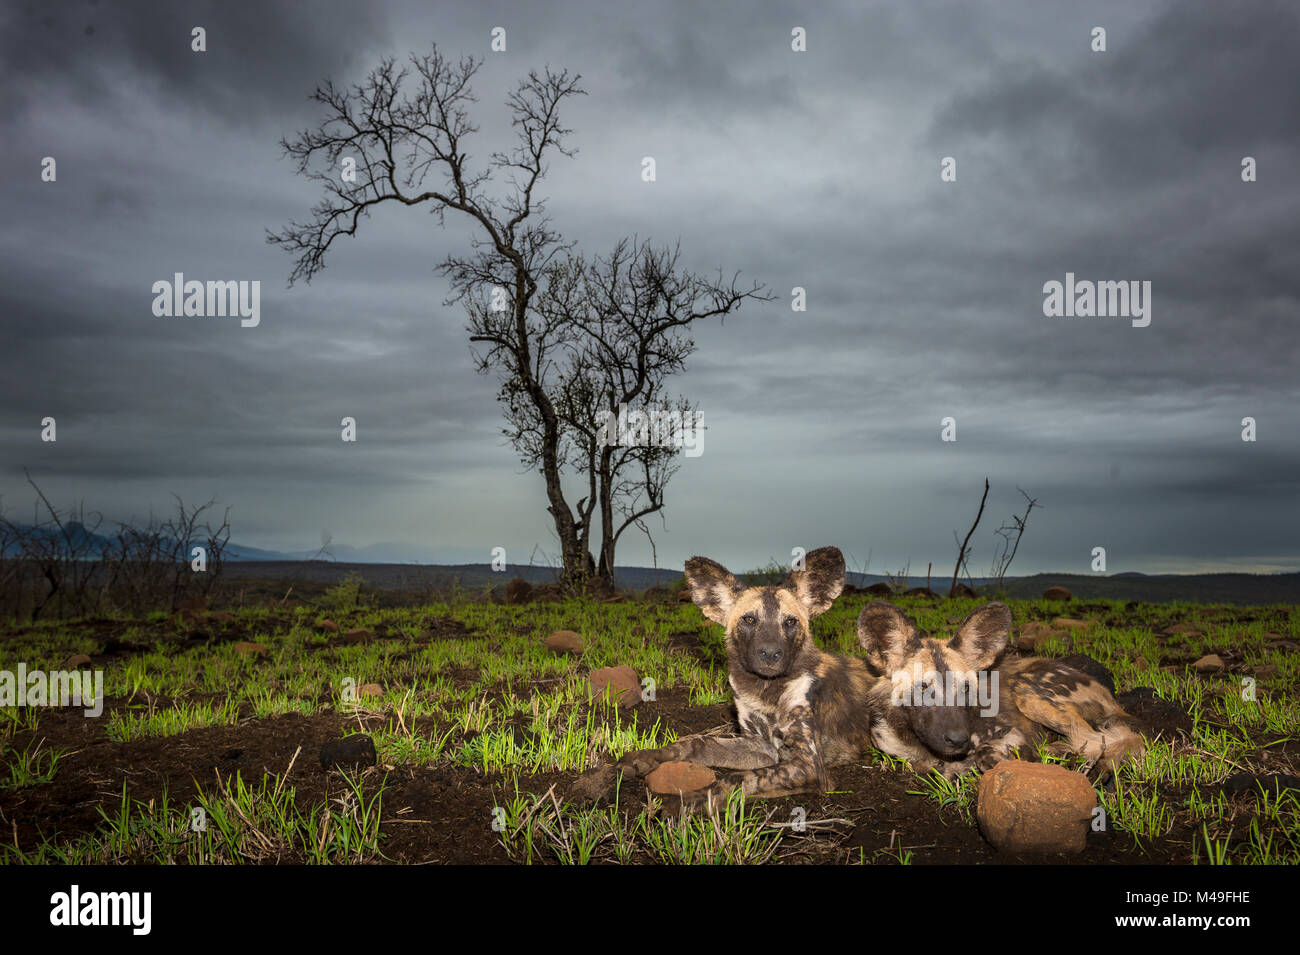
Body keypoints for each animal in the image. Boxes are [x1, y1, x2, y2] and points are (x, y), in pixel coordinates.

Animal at [857, 600, 1144, 779]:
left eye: (966, 688)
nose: (958, 739)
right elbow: (922, 765)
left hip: (1028, 691)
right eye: (923, 687)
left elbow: (984, 754)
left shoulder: (1010, 732)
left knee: (1097, 740)